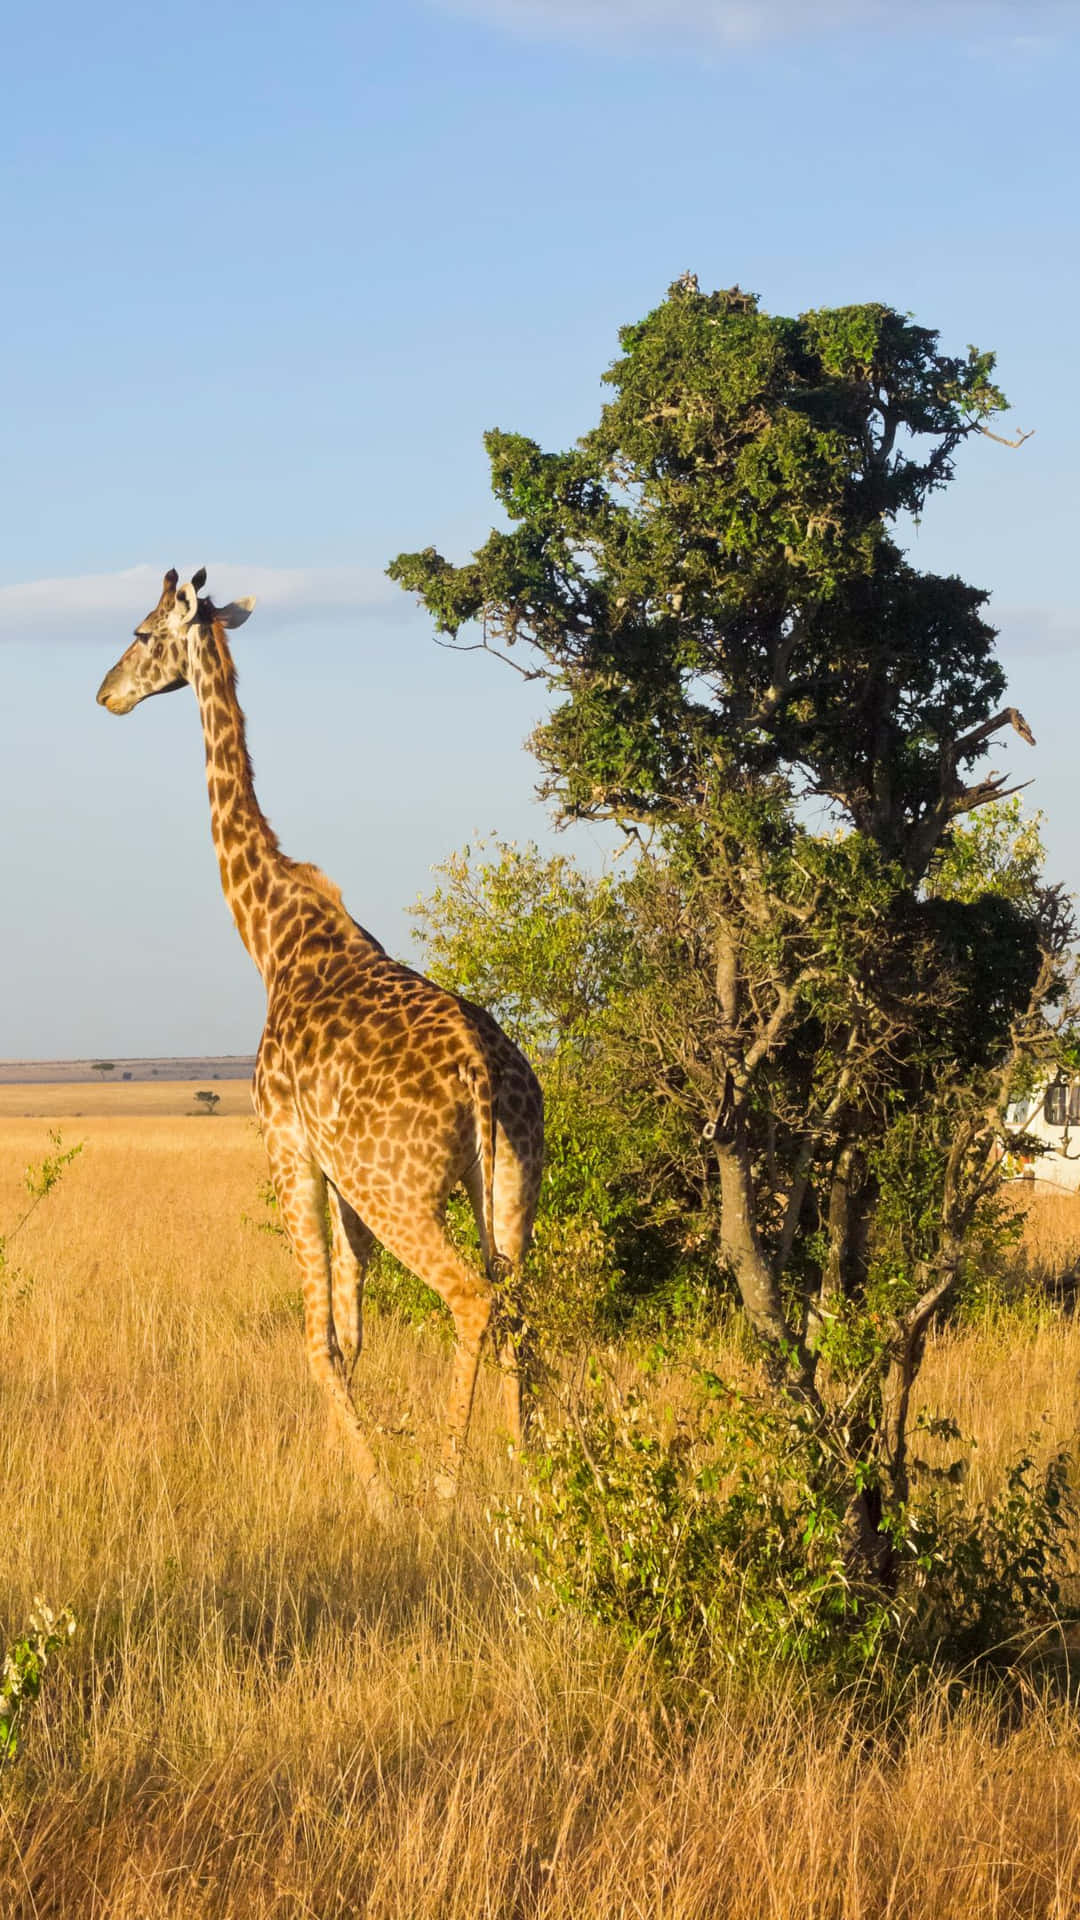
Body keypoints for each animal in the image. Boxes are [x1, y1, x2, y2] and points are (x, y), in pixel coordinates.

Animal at [96, 568, 541, 1512]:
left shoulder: (289, 1145)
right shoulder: (339, 1180)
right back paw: (530, 1474)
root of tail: (482, 1074)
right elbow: (353, 1327)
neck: (271, 937)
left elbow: (319, 1336)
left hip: (399, 1189)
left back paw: (445, 1490)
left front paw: (375, 1489)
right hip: (514, 1181)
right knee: (519, 1302)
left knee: (471, 1300)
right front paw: (358, 1466)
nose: (105, 692)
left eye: (144, 632)